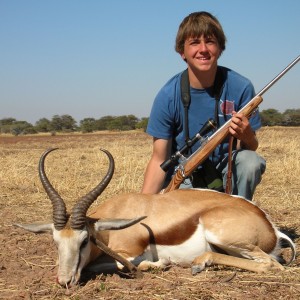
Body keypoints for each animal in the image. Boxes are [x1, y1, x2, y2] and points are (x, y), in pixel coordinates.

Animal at [15, 149, 296, 288]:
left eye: (85, 241)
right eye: (55, 241)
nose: (64, 281)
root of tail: (270, 227)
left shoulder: (129, 252)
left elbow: (124, 266)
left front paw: (159, 264)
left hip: (224, 237)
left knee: (272, 265)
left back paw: (197, 263)